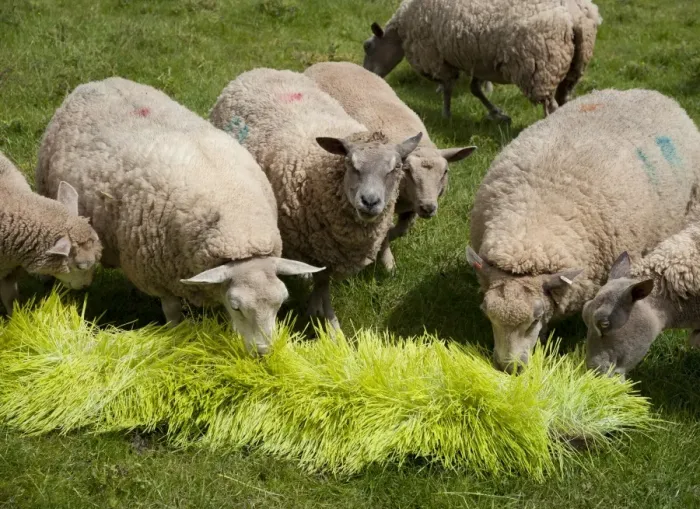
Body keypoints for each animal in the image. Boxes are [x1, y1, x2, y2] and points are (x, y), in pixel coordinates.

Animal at [36, 77, 323, 355]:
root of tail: (93, 83)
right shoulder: (157, 276)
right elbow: (172, 313)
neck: (238, 225)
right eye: (237, 305)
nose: (264, 353)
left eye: (281, 301)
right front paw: (177, 335)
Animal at [209, 68, 421, 329]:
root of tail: (259, 70)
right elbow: (322, 284)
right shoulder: (316, 245)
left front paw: (321, 316)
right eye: (351, 164)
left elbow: (322, 283)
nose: (369, 202)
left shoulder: (328, 251)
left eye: (395, 168)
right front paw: (327, 322)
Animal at [304, 61, 476, 272]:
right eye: (407, 170)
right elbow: (384, 234)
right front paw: (388, 263)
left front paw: (392, 238)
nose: (428, 207)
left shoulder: (411, 206)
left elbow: (403, 229)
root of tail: (329, 62)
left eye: (445, 172)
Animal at [362, 0, 601, 122]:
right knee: (565, 99)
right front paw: (497, 113)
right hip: (573, 66)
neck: (402, 33)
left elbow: (448, 87)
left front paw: (446, 115)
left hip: (542, 68)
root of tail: (576, 16)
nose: (366, 76)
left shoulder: (434, 55)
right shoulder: (478, 60)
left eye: (367, 46)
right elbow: (475, 89)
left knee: (550, 106)